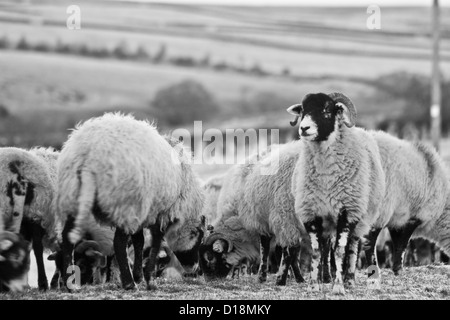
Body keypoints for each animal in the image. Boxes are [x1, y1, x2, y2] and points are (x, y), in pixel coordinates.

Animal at [57, 112, 205, 290]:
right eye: (199, 236)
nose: (196, 269)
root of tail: (90, 154)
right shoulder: (161, 212)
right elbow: (155, 241)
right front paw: (149, 278)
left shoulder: (143, 211)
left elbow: (139, 241)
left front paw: (139, 275)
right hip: (125, 203)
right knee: (119, 243)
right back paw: (128, 283)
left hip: (72, 196)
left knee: (67, 238)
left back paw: (69, 283)